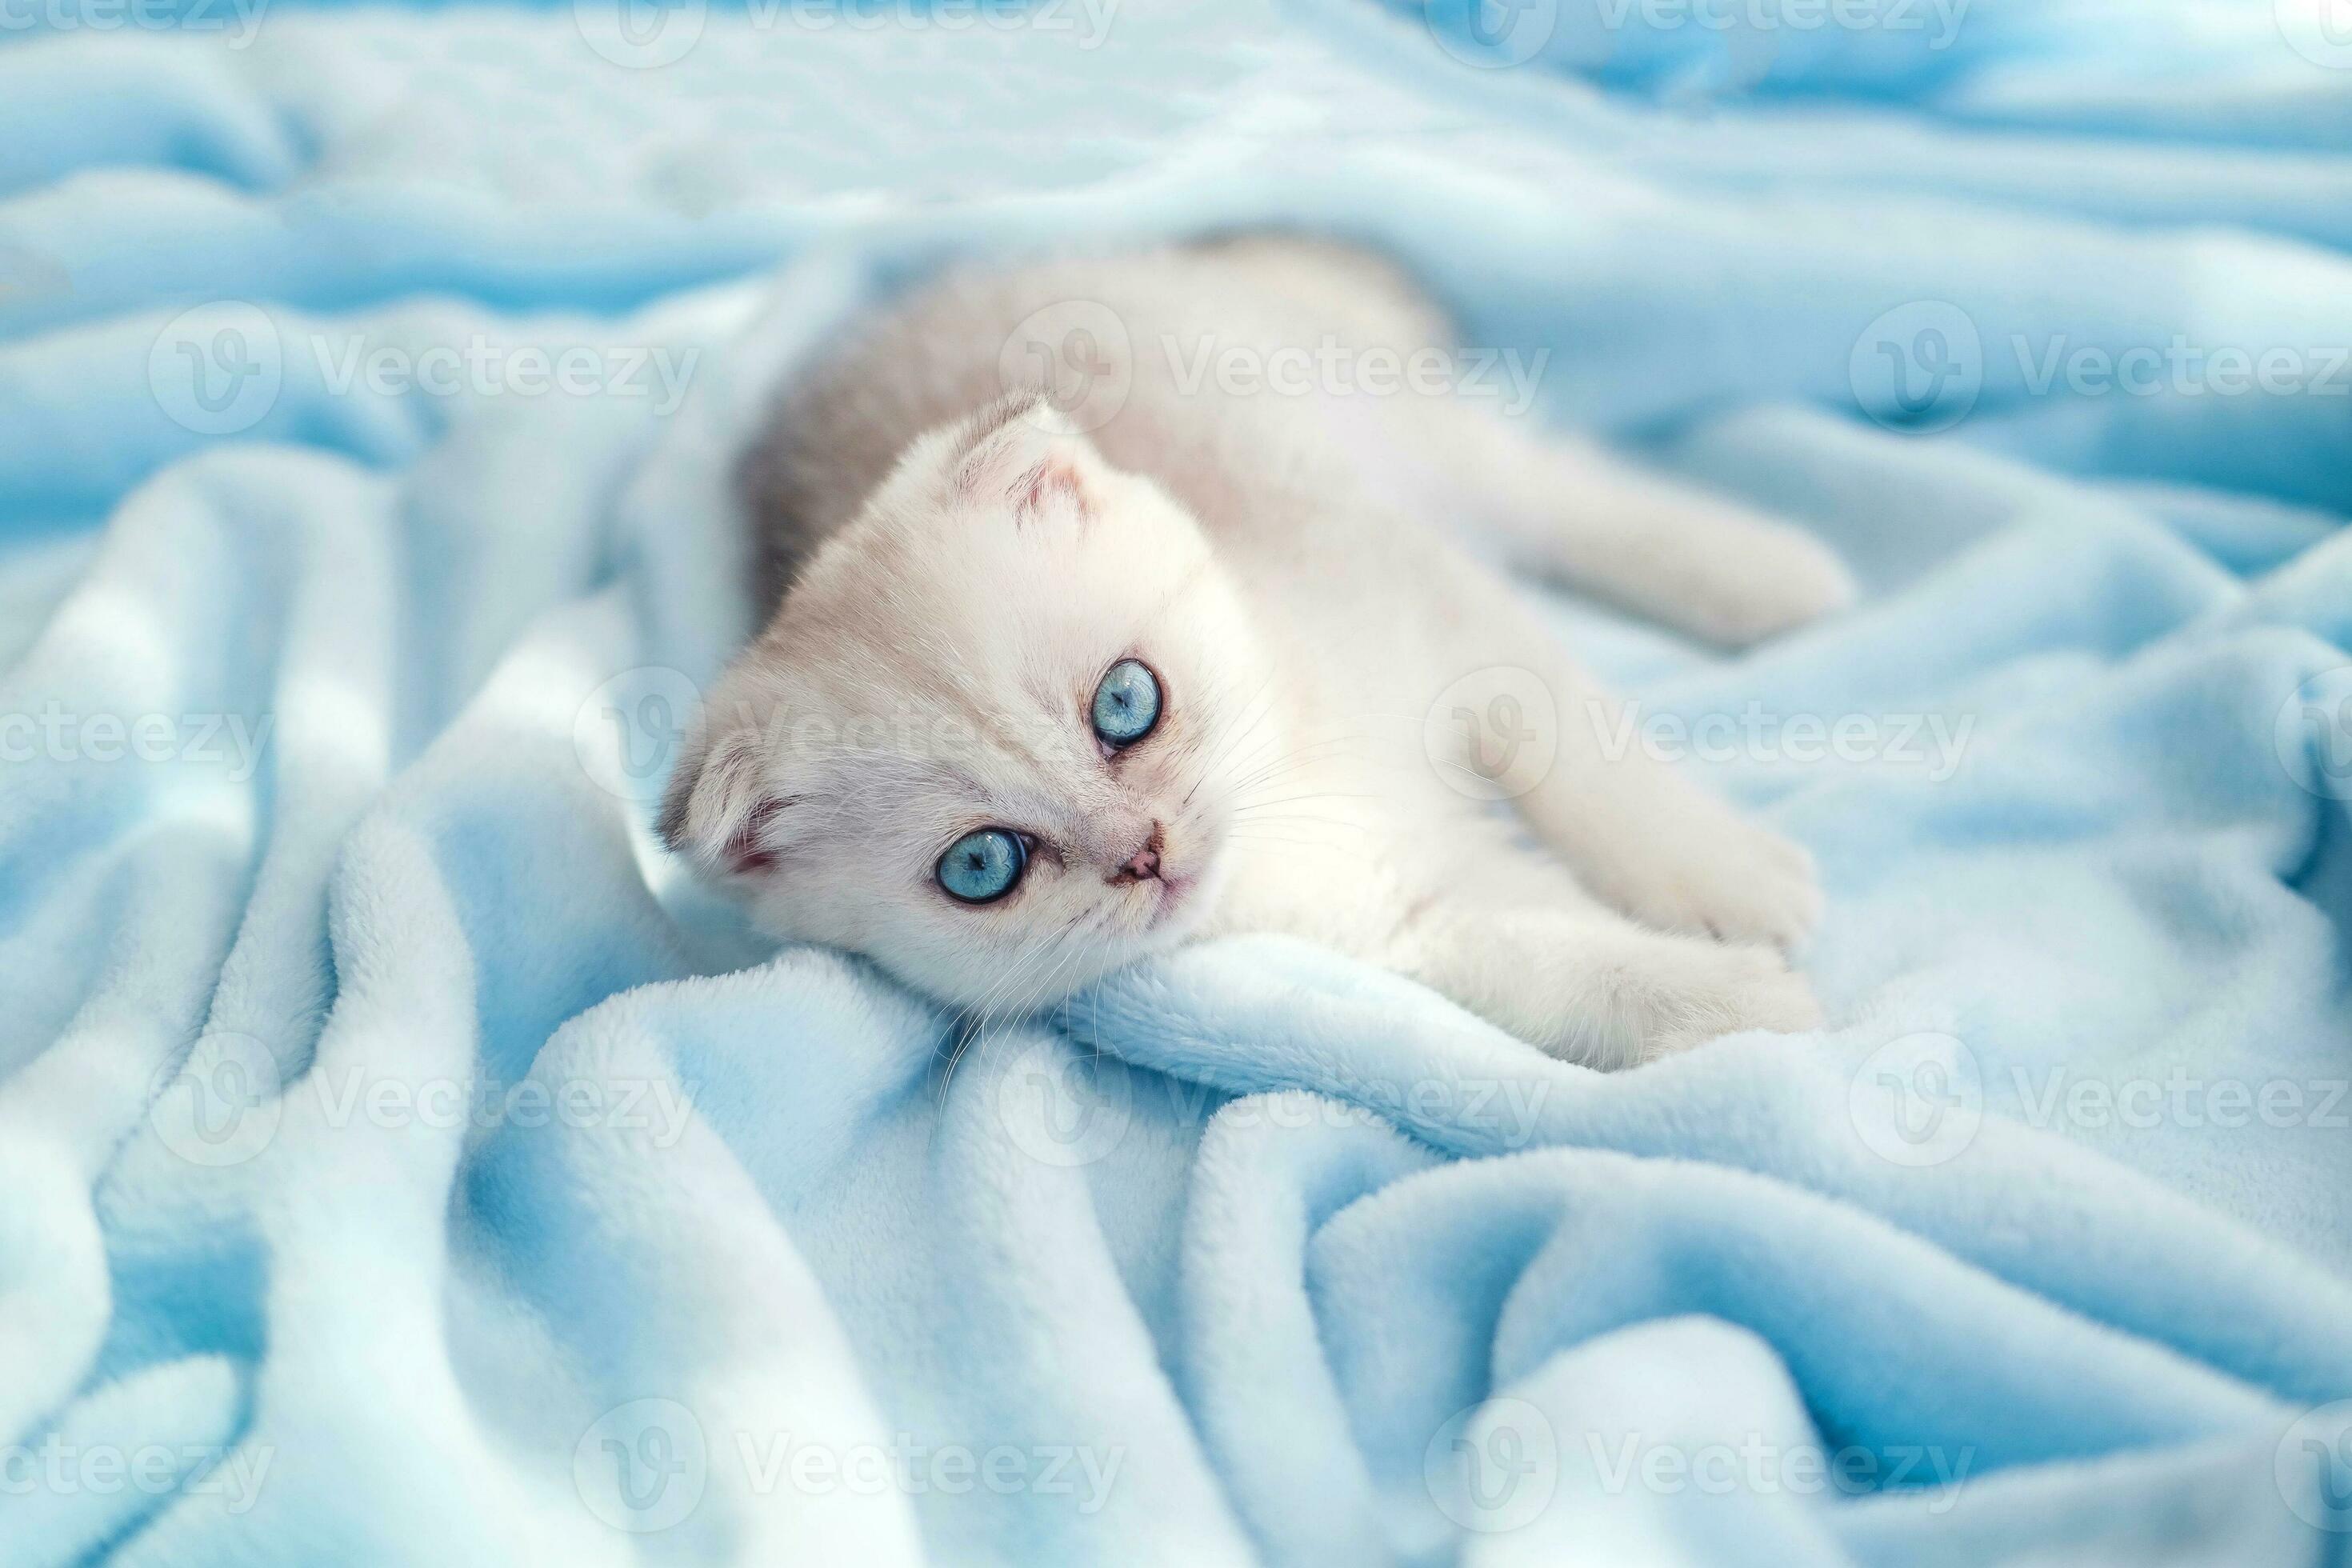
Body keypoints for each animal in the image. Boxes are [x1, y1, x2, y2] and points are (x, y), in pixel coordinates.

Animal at [667, 239, 1853, 1071]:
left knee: (1559, 493)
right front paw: (1735, 1004)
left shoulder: (1440, 605)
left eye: (1126, 703)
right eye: (981, 867)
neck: (1298, 755)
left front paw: (1717, 875)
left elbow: (1583, 759)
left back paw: (1775, 575)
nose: (1143, 852)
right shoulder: (1409, 910)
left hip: (1388, 425)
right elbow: (1559, 953)